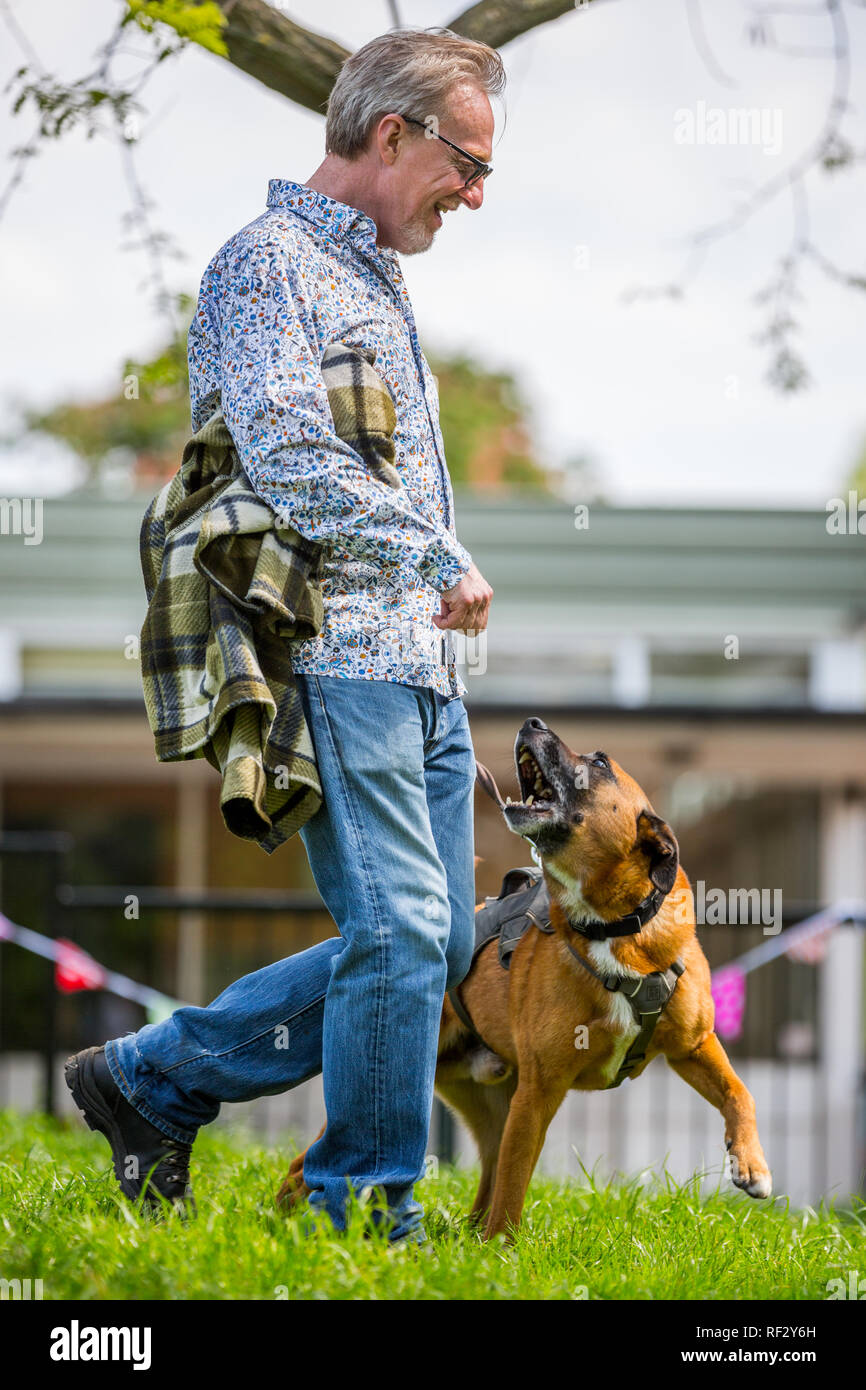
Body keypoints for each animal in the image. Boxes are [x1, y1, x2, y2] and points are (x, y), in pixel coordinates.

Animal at [278, 717, 772, 1239]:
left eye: (600, 763)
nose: (533, 723)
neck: (613, 928)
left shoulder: (693, 1047)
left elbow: (740, 1093)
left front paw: (752, 1165)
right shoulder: (539, 1093)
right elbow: (515, 1185)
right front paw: (501, 1251)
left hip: (496, 1108)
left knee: (487, 1178)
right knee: (307, 1165)